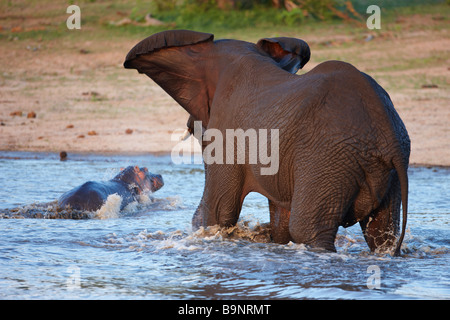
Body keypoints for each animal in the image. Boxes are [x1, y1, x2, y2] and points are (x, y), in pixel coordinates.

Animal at [122, 29, 408, 255]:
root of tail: (387, 133)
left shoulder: (229, 133)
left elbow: (218, 211)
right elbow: (280, 222)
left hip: (329, 159)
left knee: (308, 229)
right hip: (378, 169)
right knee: (382, 231)